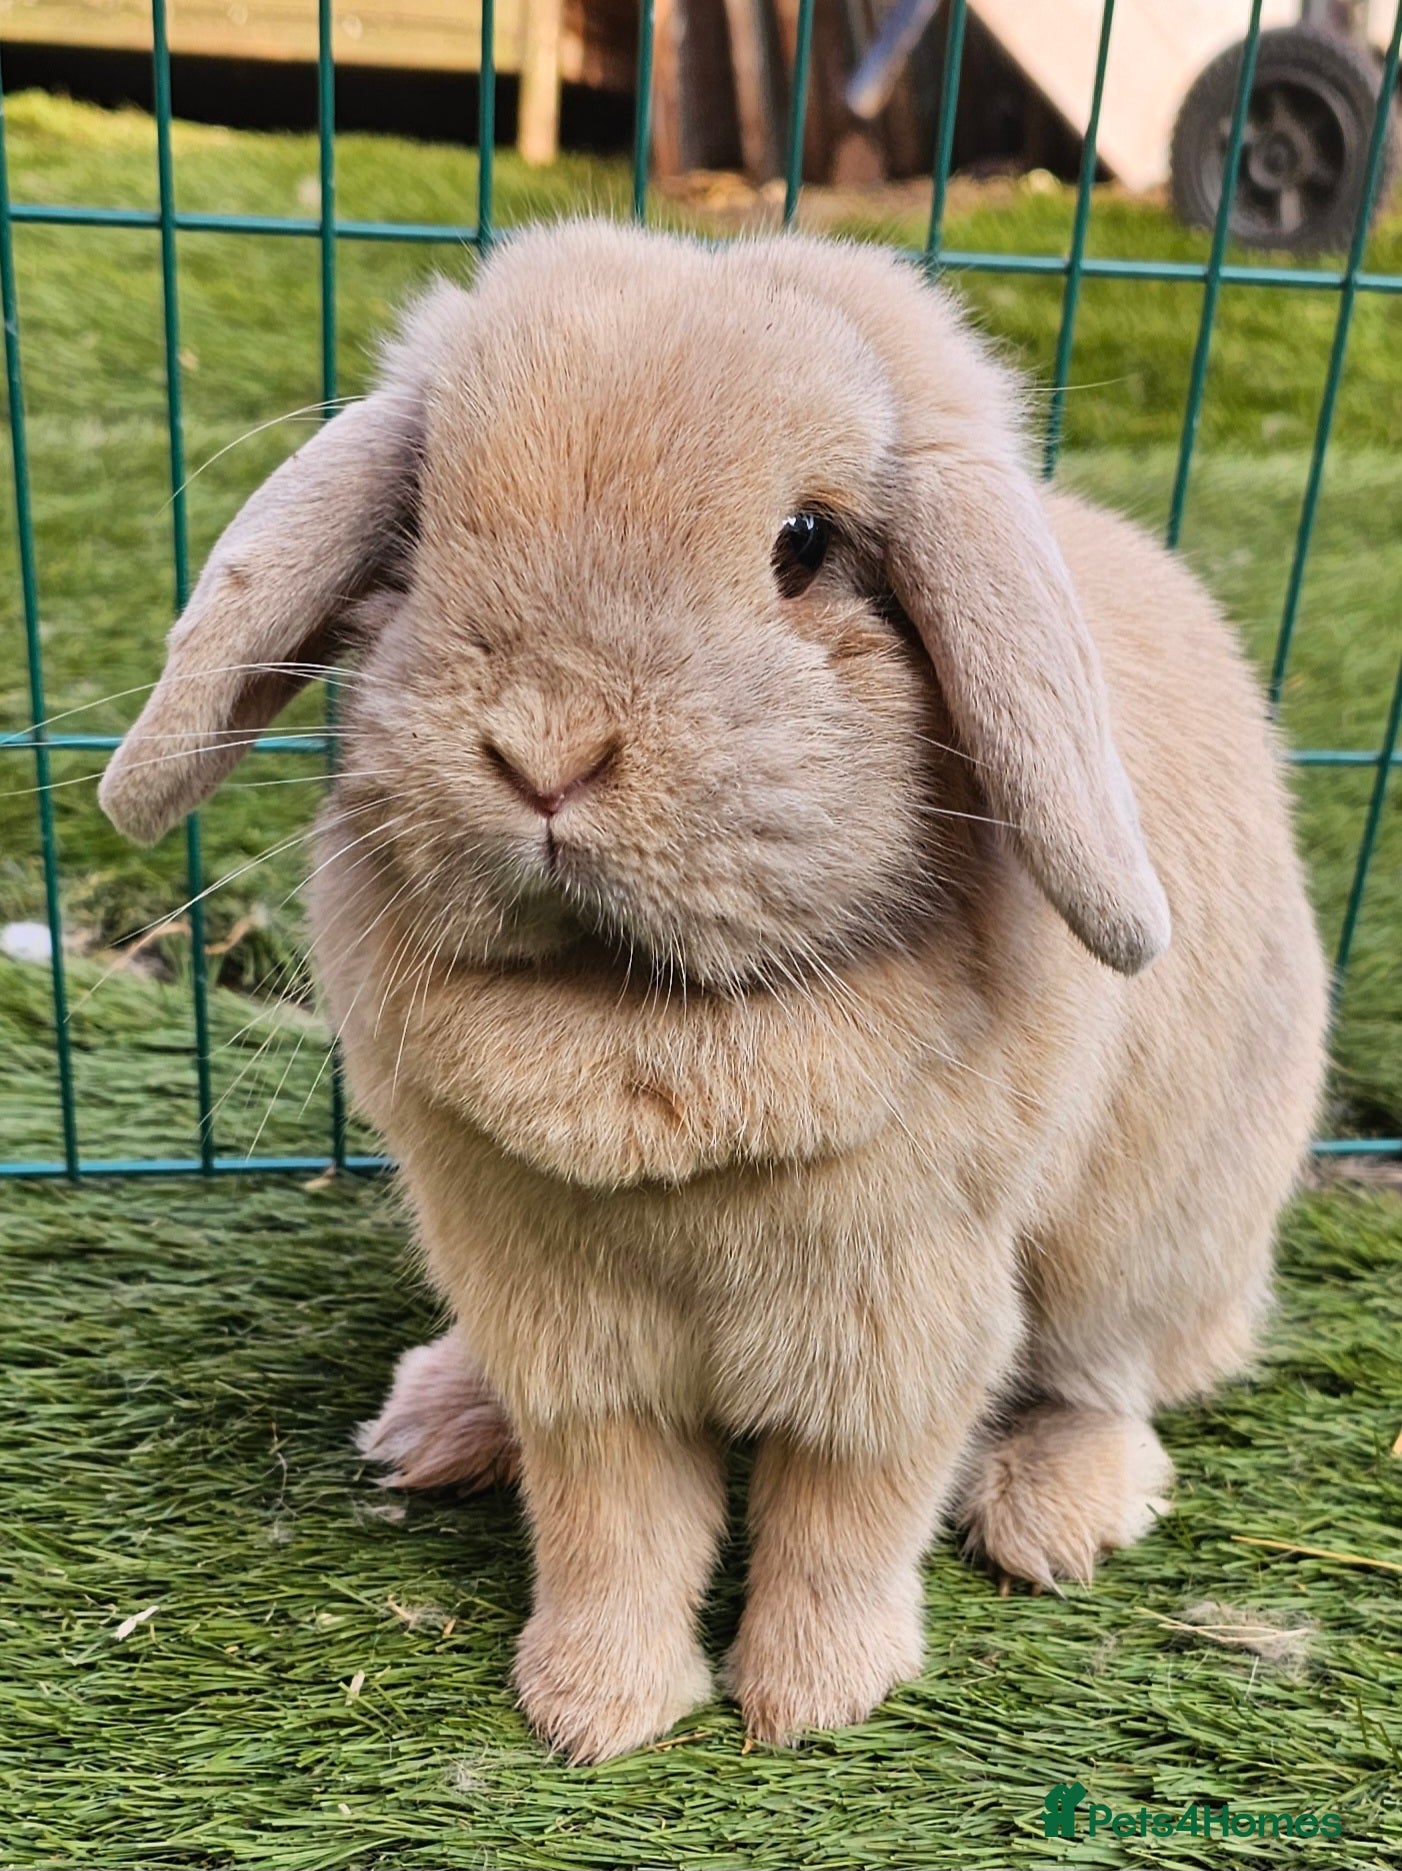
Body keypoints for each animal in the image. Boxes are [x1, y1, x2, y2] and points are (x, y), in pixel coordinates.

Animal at [100, 221, 1329, 1762]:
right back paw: (438, 1421)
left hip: (1151, 1240)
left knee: (1110, 1378)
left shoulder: (896, 1324)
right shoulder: (568, 1331)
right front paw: (594, 1707)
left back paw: (1052, 1512)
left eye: (804, 545)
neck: (635, 1015)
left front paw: (808, 1701)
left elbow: (842, 1515)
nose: (545, 750)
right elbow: (611, 1520)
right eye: (422, 523)